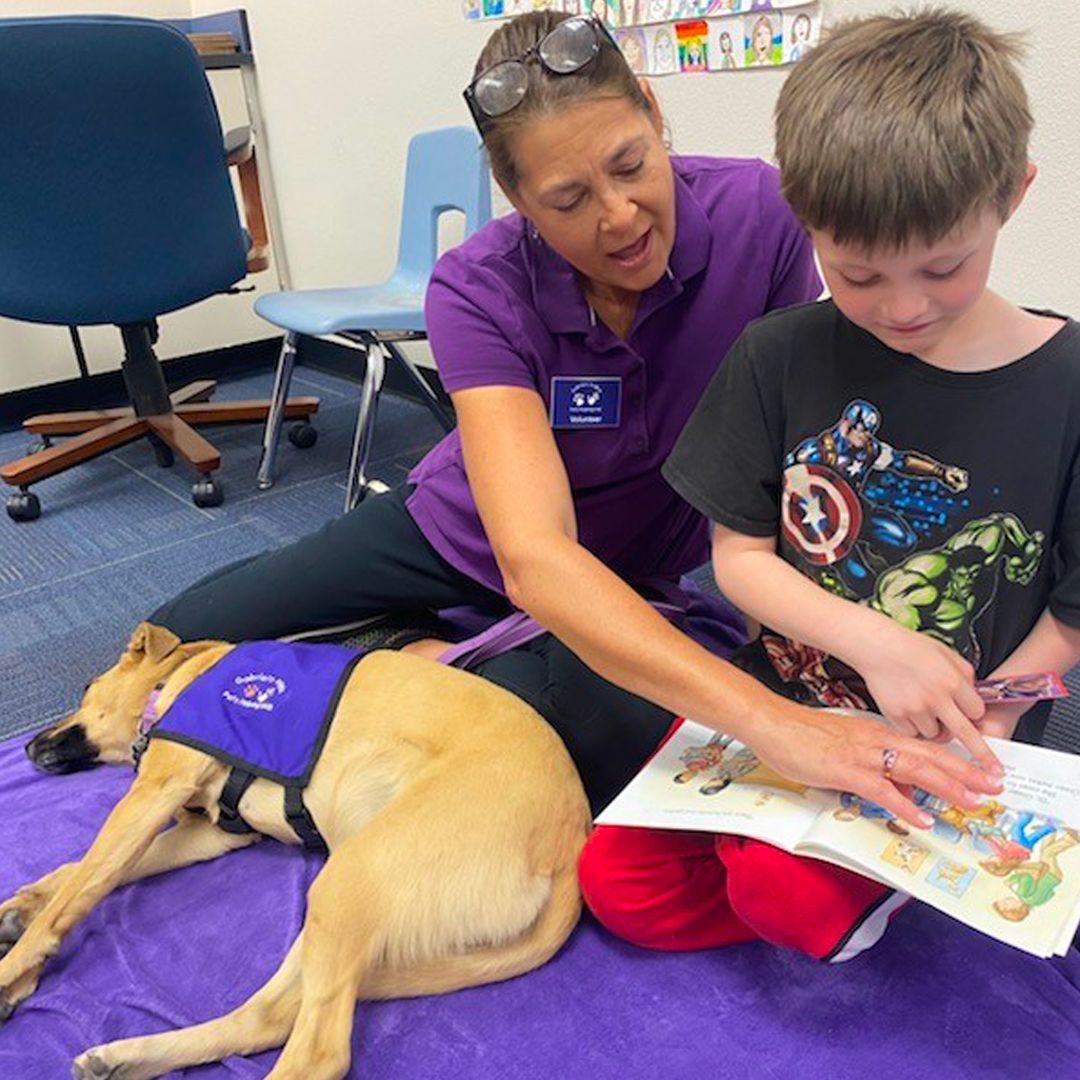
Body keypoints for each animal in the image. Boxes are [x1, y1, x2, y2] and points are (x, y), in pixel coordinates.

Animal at [0, 626, 591, 1080]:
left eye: (85, 688)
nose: (24, 747)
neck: (182, 679)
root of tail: (569, 844)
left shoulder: (157, 789)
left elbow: (81, 889)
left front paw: (14, 967)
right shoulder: (212, 833)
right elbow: (84, 870)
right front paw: (21, 907)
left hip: (349, 877)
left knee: (318, 1054)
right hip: (336, 911)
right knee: (268, 1017)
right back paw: (127, 1058)